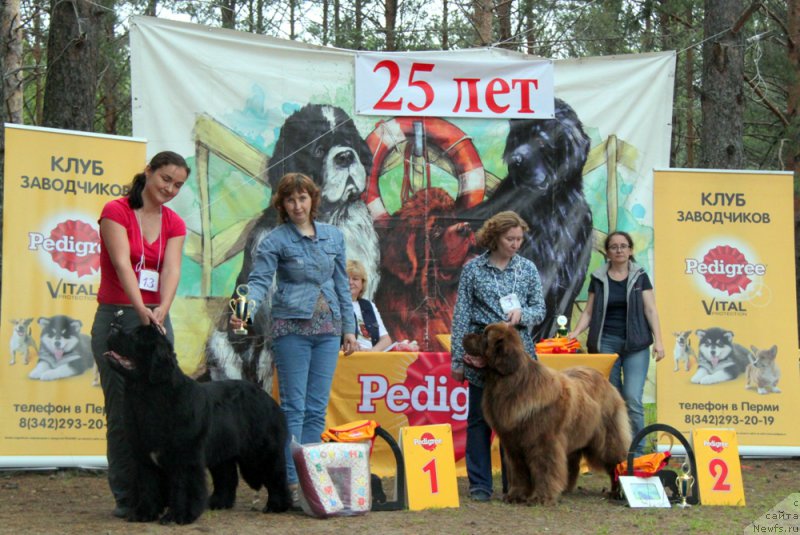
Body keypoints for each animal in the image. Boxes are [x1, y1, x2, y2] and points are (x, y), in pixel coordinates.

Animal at [104, 322, 290, 524]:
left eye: (137, 337)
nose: (112, 327)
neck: (150, 396)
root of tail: (267, 397)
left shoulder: (185, 455)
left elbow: (183, 485)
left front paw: (178, 516)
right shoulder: (144, 455)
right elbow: (148, 484)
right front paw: (144, 513)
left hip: (260, 451)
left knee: (275, 474)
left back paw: (276, 505)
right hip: (222, 448)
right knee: (226, 476)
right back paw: (218, 502)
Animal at [462, 322, 632, 506]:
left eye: (485, 337)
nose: (464, 336)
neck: (511, 383)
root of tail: (604, 380)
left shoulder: (543, 443)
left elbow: (544, 470)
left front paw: (541, 497)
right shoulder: (513, 445)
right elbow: (518, 472)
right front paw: (516, 495)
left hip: (606, 439)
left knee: (616, 463)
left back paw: (617, 492)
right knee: (572, 465)